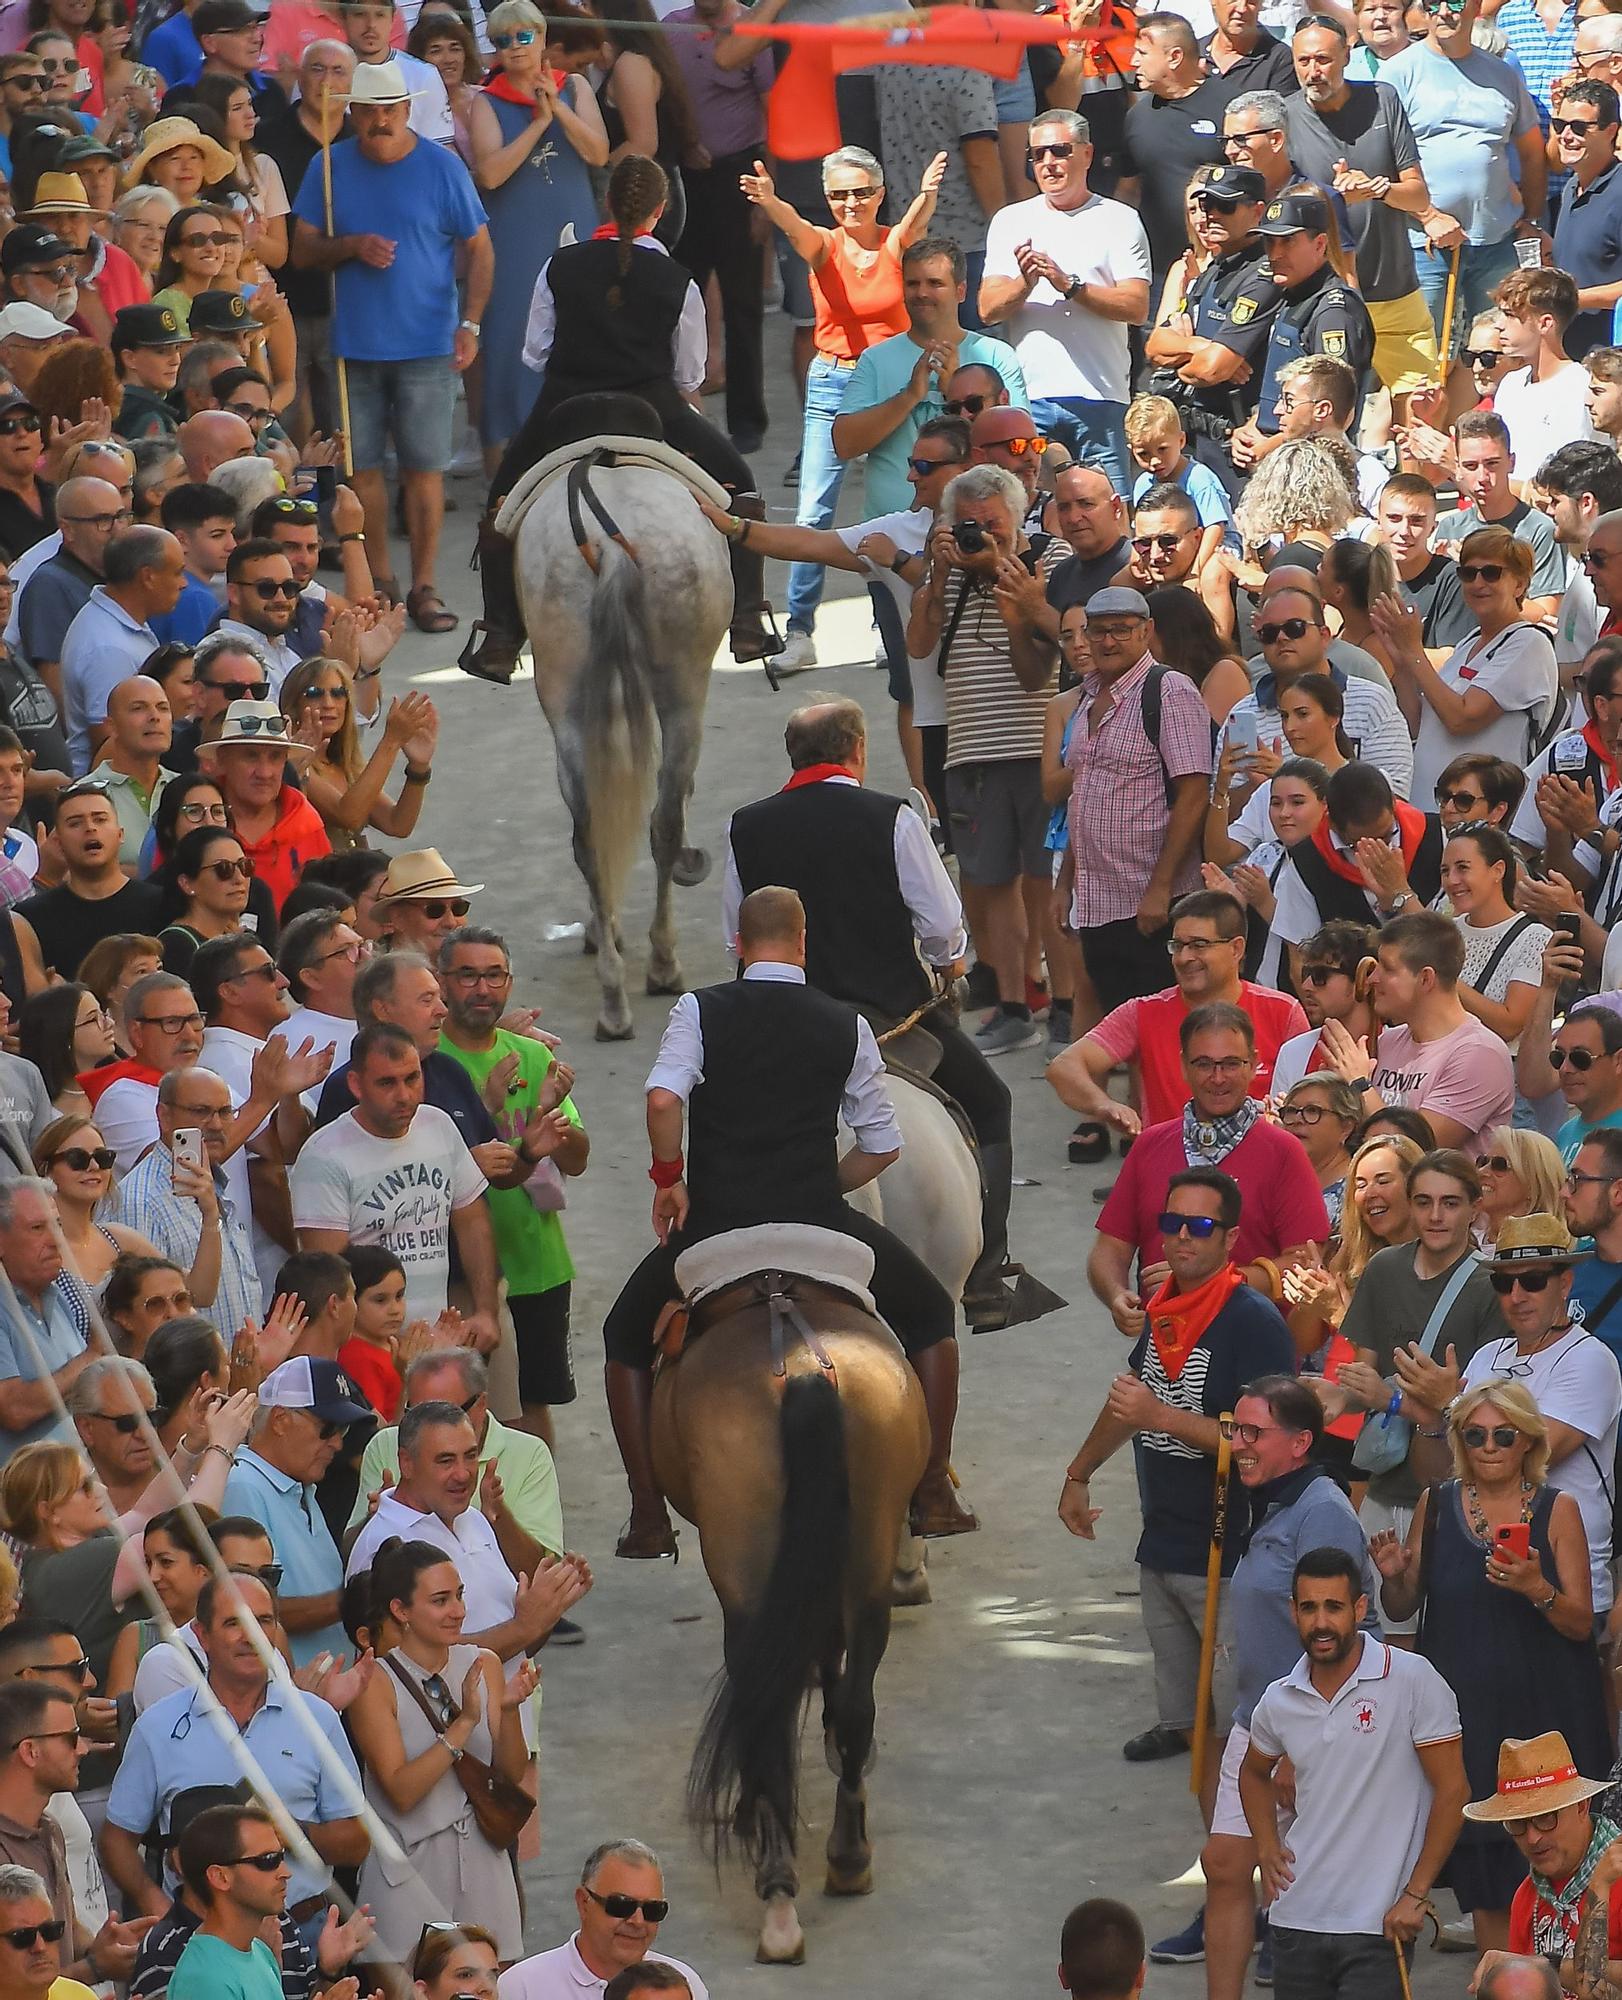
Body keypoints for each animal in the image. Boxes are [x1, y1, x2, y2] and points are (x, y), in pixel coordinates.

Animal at [648, 1224, 928, 1960]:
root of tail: (801, 1363)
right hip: (865, 1555)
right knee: (854, 1699)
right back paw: (848, 1856)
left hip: (744, 1576)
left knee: (764, 1705)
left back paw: (777, 1886)